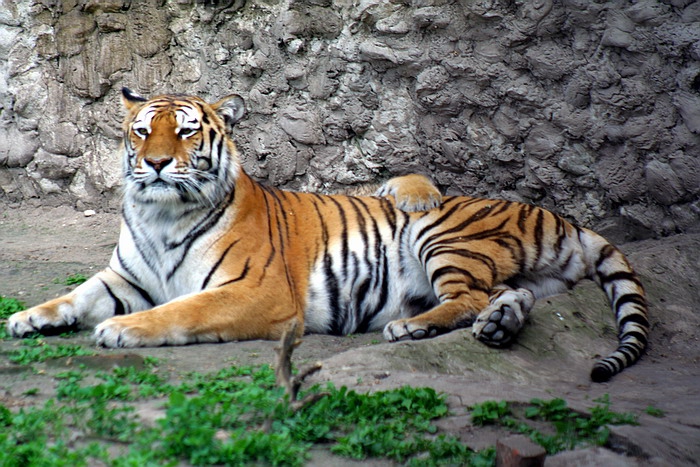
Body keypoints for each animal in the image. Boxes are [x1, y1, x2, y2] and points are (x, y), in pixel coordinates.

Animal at [6, 88, 652, 384]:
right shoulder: (124, 277)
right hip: (509, 273)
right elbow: (75, 295)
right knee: (504, 296)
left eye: (187, 133)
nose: (157, 163)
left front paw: (122, 331)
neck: (162, 216)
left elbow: (179, 311)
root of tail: (557, 216)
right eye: (142, 132)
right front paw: (29, 318)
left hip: (440, 233)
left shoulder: (257, 291)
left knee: (468, 296)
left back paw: (411, 327)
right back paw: (498, 326)